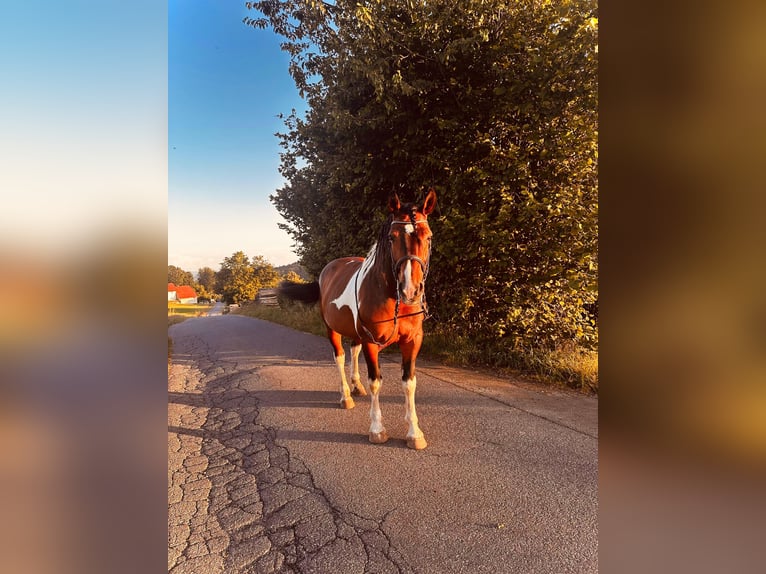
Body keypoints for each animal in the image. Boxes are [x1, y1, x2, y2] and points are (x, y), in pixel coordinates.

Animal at [279, 189, 437, 449]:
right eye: (392, 238)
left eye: (428, 237)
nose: (410, 290)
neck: (390, 295)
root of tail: (329, 268)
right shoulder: (371, 342)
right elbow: (376, 381)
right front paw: (377, 429)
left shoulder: (412, 341)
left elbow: (409, 383)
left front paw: (415, 433)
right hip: (332, 329)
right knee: (340, 357)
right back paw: (345, 396)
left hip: (356, 333)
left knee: (353, 351)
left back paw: (356, 386)